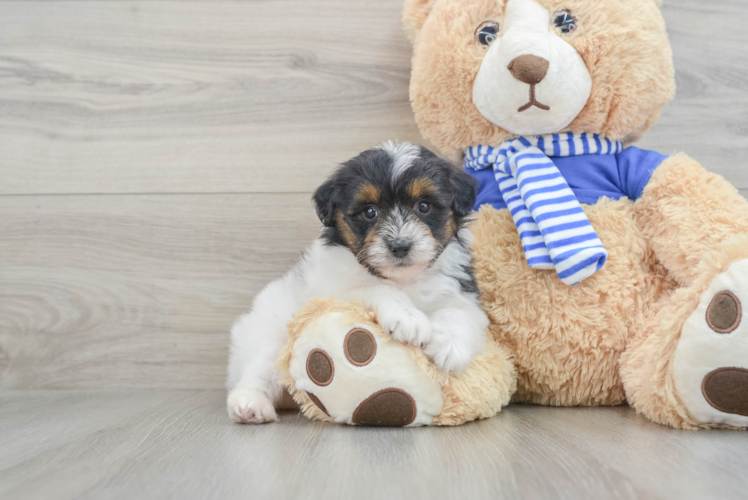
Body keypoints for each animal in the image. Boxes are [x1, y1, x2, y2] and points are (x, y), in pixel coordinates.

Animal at [225, 141, 490, 422]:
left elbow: (460, 312)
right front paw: (407, 317)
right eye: (370, 212)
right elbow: (376, 288)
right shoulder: (333, 291)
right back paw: (249, 404)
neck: (404, 279)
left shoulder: (461, 291)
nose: (400, 246)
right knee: (258, 371)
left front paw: (450, 347)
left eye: (424, 206)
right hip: (269, 335)